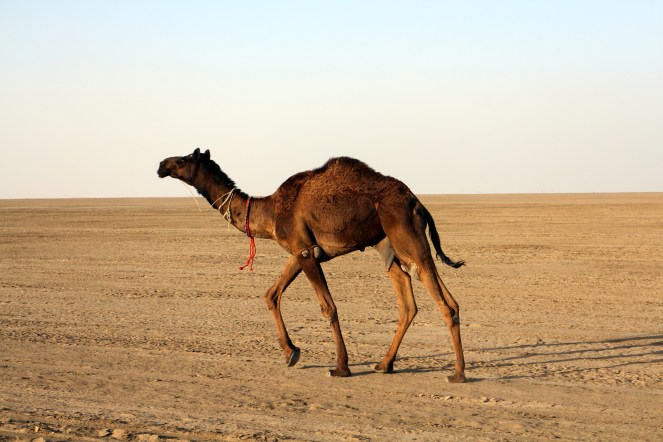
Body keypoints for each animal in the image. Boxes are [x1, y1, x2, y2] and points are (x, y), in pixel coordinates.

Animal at [158, 148, 467, 382]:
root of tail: (416, 202)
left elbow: (328, 307)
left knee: (445, 303)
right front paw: (291, 353)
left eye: (183, 159)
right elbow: (271, 295)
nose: (161, 165)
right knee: (410, 303)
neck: (269, 211)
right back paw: (384, 364)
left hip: (407, 237)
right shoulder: (299, 251)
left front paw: (340, 367)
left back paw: (458, 374)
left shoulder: (305, 252)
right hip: (388, 245)